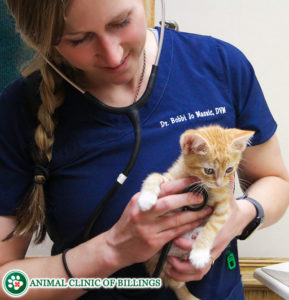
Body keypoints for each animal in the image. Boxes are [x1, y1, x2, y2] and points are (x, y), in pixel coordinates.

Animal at [137, 125, 252, 300]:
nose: (219, 183)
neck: (199, 182)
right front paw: (146, 199)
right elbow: (154, 176)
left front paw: (199, 254)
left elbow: (212, 228)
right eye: (209, 170)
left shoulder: (224, 207)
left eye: (229, 169)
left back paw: (196, 234)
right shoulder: (171, 178)